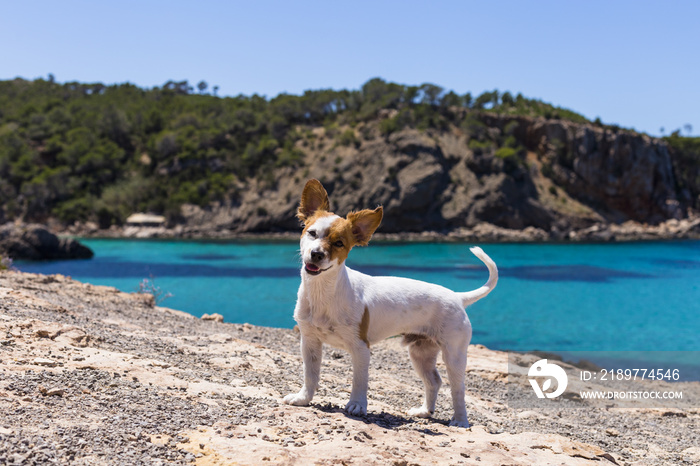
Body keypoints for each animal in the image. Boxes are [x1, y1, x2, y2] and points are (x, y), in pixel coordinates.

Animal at [282, 178, 500, 426]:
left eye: (339, 243)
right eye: (311, 233)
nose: (317, 254)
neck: (324, 293)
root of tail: (458, 296)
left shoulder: (361, 348)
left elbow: (359, 380)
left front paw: (357, 405)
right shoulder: (309, 341)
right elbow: (310, 375)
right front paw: (303, 398)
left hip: (454, 354)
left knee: (458, 389)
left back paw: (460, 421)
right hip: (421, 352)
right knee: (434, 381)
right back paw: (424, 411)